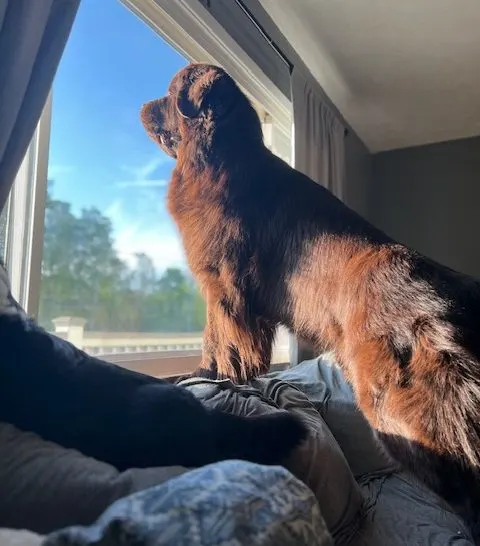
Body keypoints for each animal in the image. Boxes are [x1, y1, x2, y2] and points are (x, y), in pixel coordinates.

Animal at [141, 62, 480, 536]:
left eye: (170, 94)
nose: (141, 107)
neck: (223, 155)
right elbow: (220, 337)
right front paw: (212, 373)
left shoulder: (223, 284)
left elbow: (221, 336)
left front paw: (217, 375)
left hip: (404, 410)